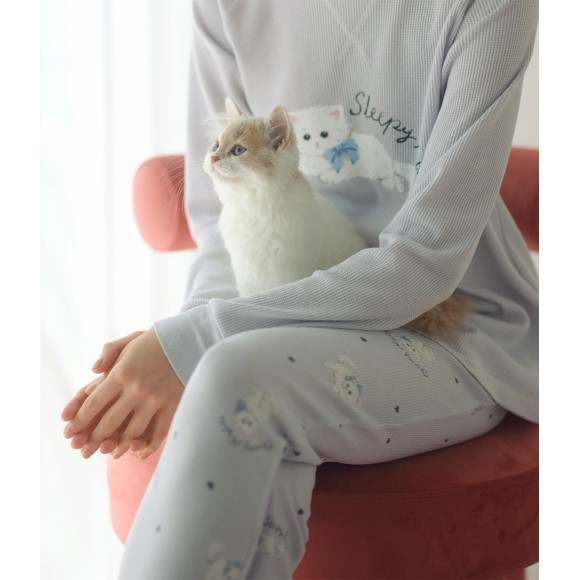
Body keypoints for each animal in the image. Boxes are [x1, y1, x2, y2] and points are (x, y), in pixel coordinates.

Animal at [203, 98, 471, 338]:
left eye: (238, 150)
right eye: (215, 146)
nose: (214, 158)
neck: (250, 207)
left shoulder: (287, 272)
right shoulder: (246, 273)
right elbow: (248, 295)